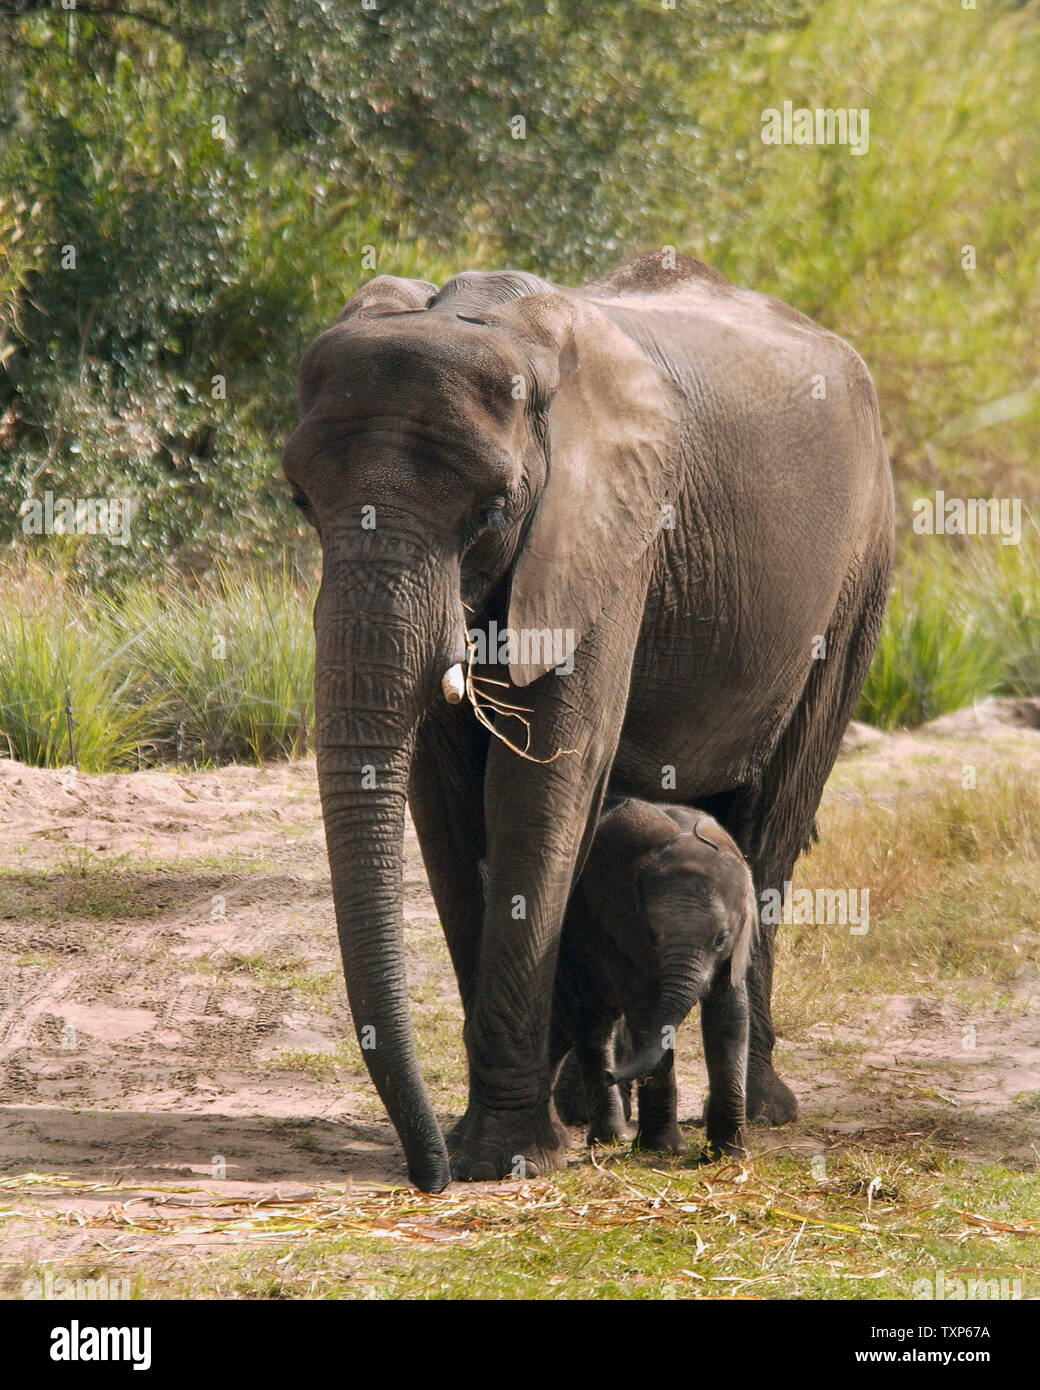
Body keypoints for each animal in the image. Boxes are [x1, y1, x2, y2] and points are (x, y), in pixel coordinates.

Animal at [553, 800, 756, 1156]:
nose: (614, 1075)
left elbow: (730, 1016)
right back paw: (611, 1138)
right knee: (593, 1024)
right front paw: (663, 1150)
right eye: (652, 936)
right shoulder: (621, 929)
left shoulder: (736, 949)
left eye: (721, 938)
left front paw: (729, 1153)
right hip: (575, 940)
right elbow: (647, 1014)